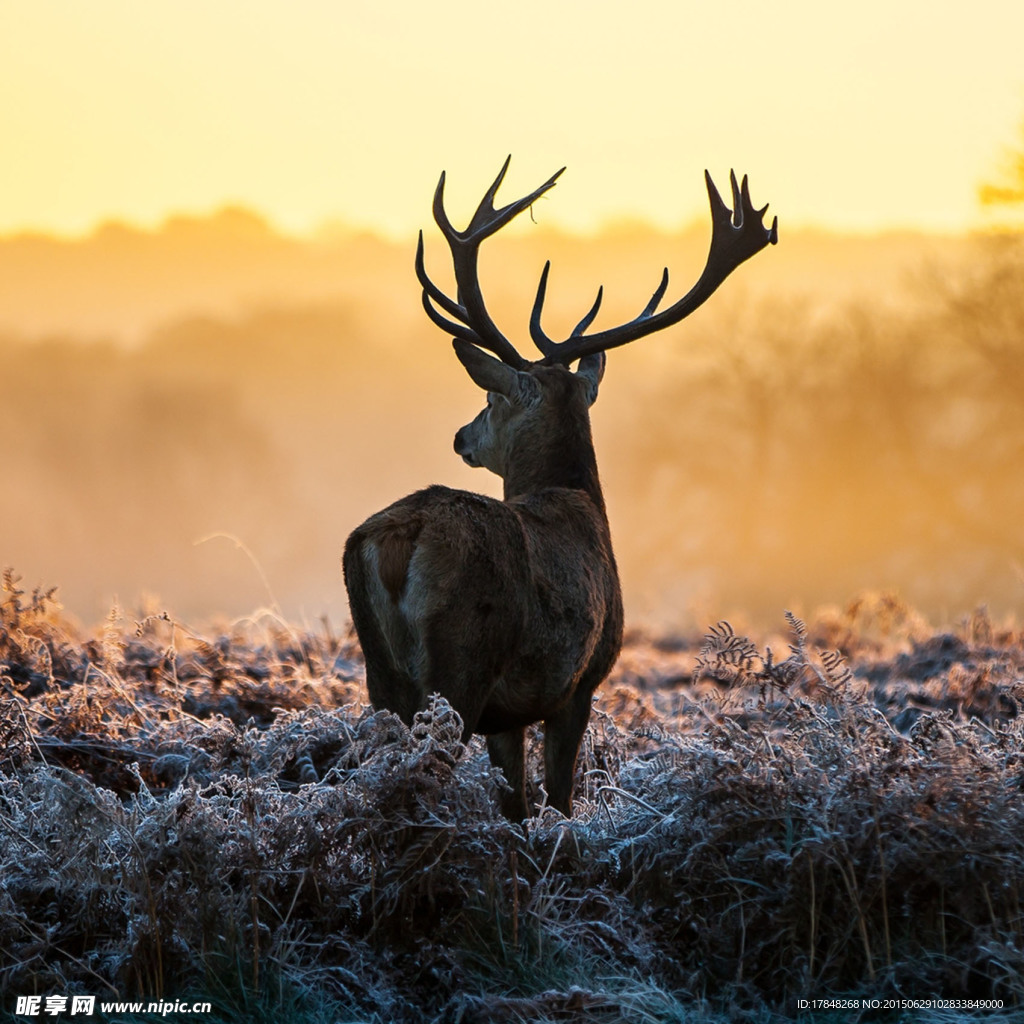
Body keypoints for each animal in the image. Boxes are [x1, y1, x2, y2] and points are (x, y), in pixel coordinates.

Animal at [344, 157, 774, 815]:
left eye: (490, 398)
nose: (461, 436)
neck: (578, 499)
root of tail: (399, 538)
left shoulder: (510, 715)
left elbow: (517, 807)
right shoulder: (579, 683)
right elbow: (559, 800)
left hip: (382, 675)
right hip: (461, 664)